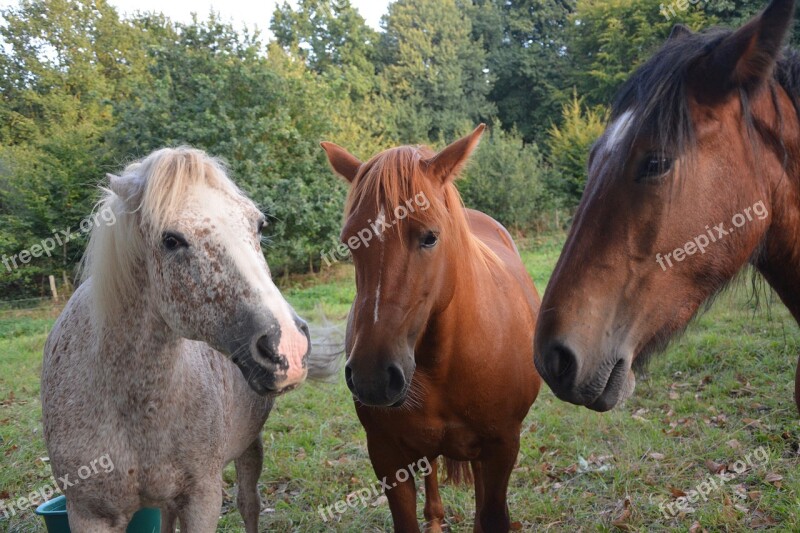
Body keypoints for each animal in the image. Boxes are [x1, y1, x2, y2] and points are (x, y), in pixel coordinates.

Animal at [41, 148, 340, 528]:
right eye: (171, 240)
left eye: (258, 225)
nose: (287, 344)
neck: (134, 404)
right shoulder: (88, 513)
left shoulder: (203, 498)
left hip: (248, 447)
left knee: (248, 503)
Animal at [322, 125, 540, 532]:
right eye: (350, 243)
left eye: (430, 237)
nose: (373, 377)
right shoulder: (387, 455)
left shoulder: (502, 447)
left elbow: (491, 515)